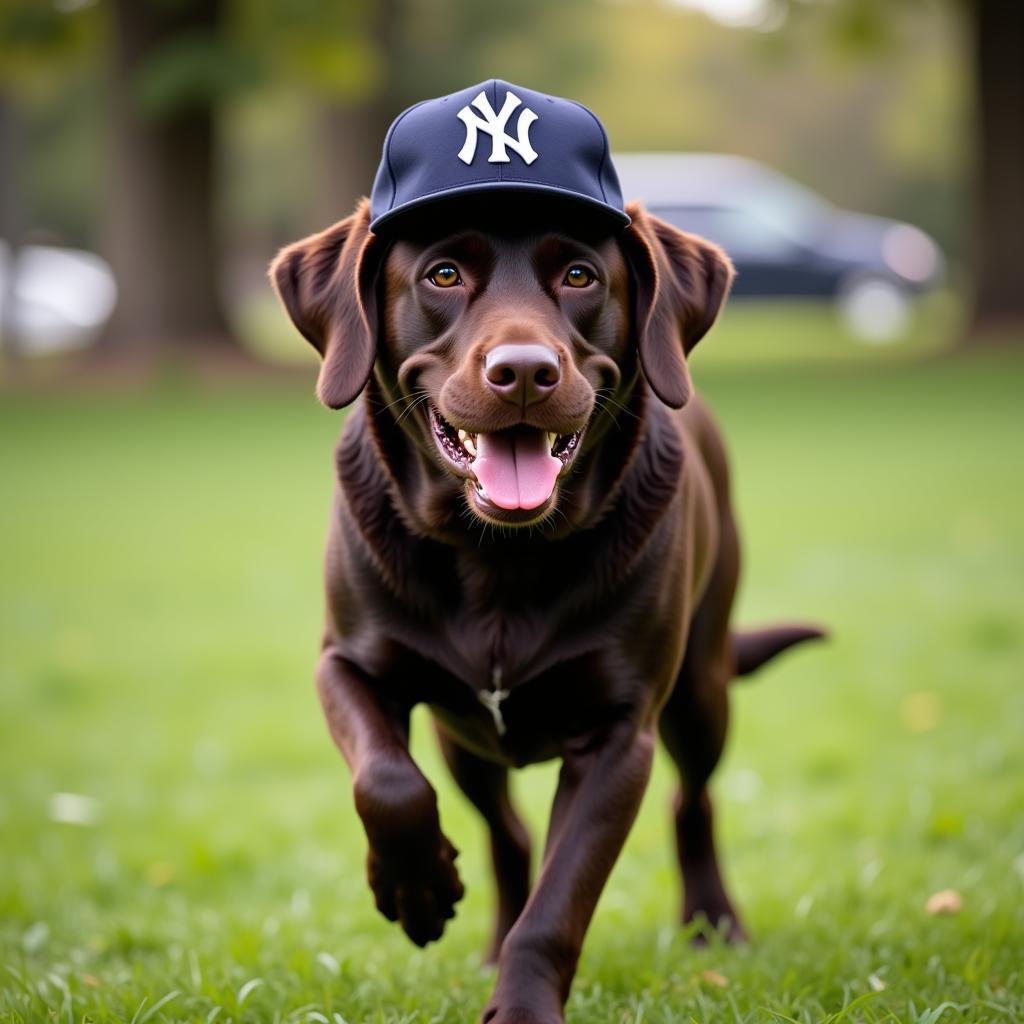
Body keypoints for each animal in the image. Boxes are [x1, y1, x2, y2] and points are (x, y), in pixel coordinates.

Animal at [268, 79, 819, 1024]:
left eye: (580, 276)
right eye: (443, 275)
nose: (524, 371)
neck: (498, 557)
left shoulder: (620, 735)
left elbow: (563, 898)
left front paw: (522, 1003)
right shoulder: (348, 664)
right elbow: (386, 781)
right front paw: (415, 889)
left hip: (702, 686)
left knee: (694, 800)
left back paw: (713, 924)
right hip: (466, 740)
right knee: (505, 830)